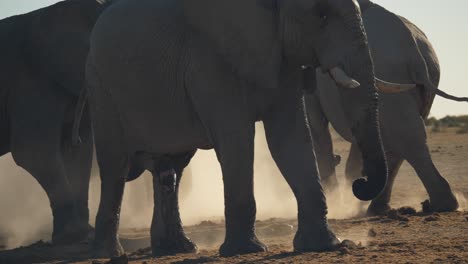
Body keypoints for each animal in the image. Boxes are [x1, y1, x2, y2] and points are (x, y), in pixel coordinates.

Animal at [79, 0, 420, 258]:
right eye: (321, 15)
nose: (359, 184)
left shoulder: (281, 54)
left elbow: (290, 138)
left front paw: (324, 245)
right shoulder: (209, 57)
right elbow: (237, 138)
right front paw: (246, 251)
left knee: (171, 167)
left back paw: (177, 249)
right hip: (100, 85)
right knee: (115, 166)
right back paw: (109, 253)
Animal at [308, 0, 464, 214]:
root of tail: (414, 50)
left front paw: (336, 202)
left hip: (389, 71)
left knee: (405, 137)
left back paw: (438, 205)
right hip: (426, 77)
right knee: (402, 136)